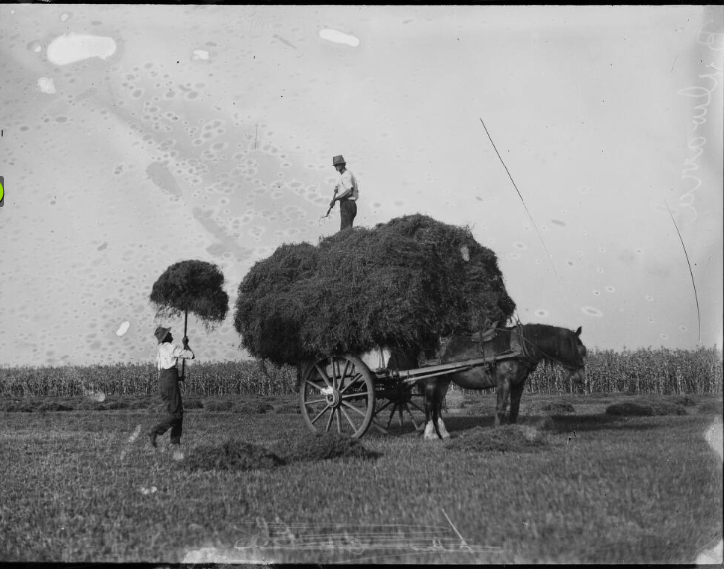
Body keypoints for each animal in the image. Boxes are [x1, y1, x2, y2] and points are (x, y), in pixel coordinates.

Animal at [390, 324, 588, 440]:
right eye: (580, 350)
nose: (581, 377)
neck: (519, 345)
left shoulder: (519, 384)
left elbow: (514, 408)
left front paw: (513, 430)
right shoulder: (504, 382)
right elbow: (500, 407)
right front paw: (497, 432)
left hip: (444, 380)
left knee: (437, 405)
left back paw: (443, 433)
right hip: (432, 379)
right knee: (429, 404)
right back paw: (430, 433)